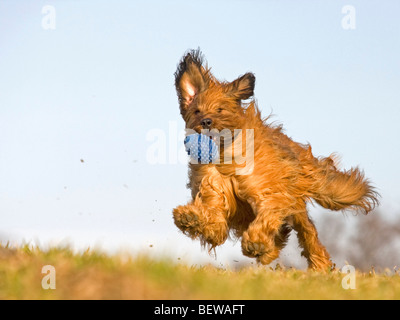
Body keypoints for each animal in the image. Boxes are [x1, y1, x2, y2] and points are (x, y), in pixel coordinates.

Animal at [172, 48, 378, 272]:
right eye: (197, 110)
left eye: (220, 109)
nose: (206, 121)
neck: (225, 157)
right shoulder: (214, 189)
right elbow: (214, 220)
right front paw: (191, 217)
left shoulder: (269, 190)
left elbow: (269, 212)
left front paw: (256, 241)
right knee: (284, 232)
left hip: (296, 205)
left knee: (307, 232)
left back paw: (318, 264)